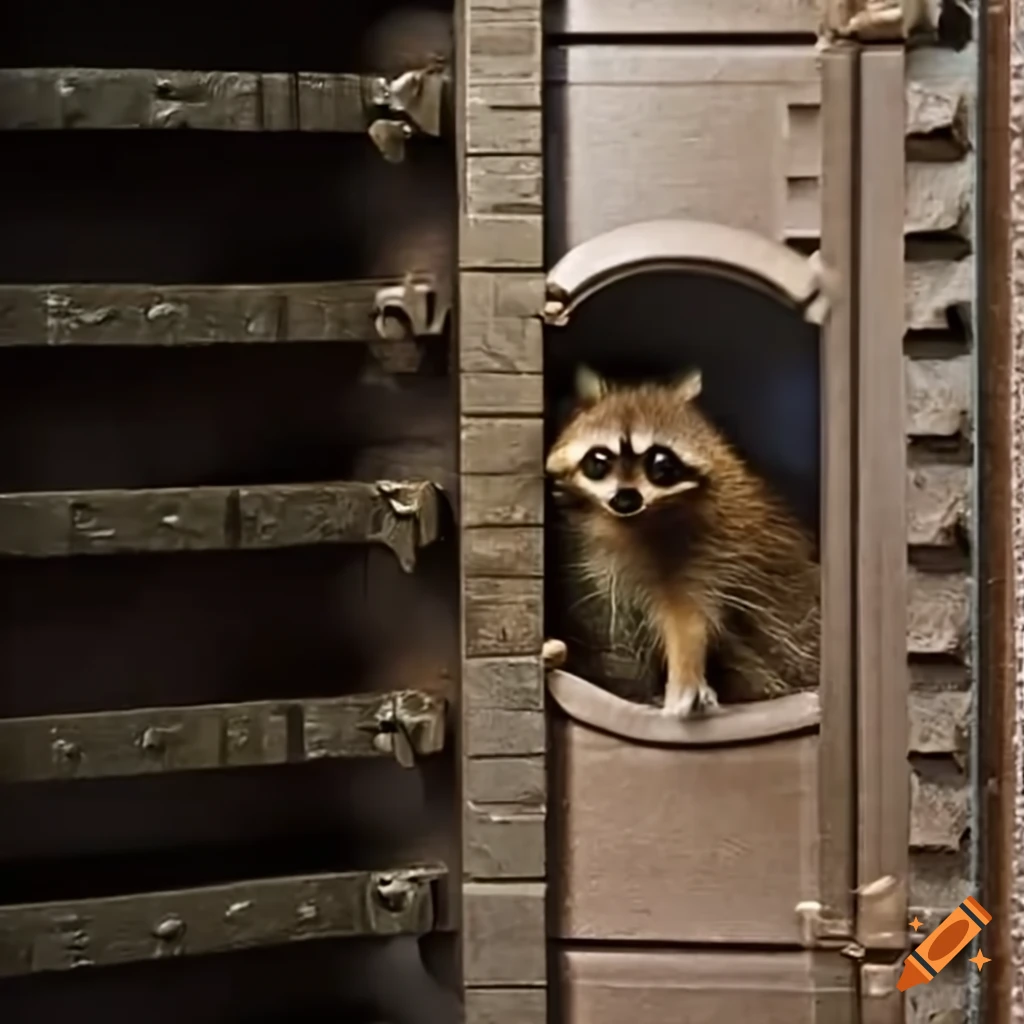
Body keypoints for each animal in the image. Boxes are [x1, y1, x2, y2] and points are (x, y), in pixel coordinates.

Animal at [545, 366, 820, 717]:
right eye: (598, 461)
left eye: (661, 465)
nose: (626, 500)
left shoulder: (708, 546)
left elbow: (686, 618)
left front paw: (685, 676)